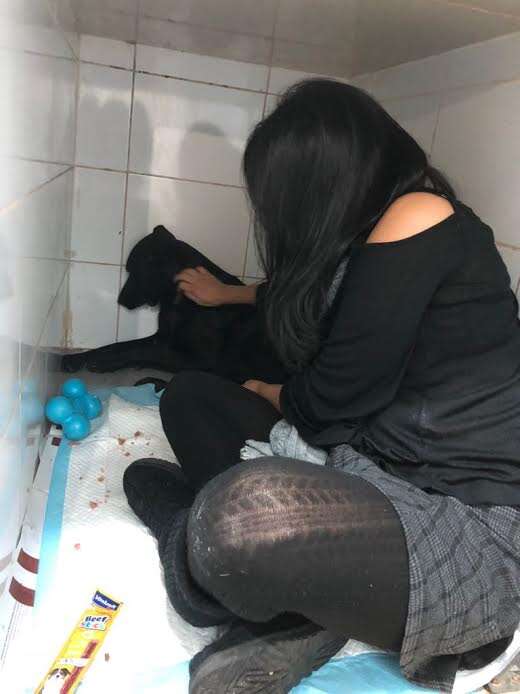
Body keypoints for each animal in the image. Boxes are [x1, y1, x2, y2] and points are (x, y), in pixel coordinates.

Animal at [62, 226, 286, 384]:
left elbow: (142, 351)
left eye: (135, 271)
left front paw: (108, 361)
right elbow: (119, 345)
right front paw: (76, 358)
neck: (179, 299)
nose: (120, 301)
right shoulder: (161, 337)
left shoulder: (199, 359)